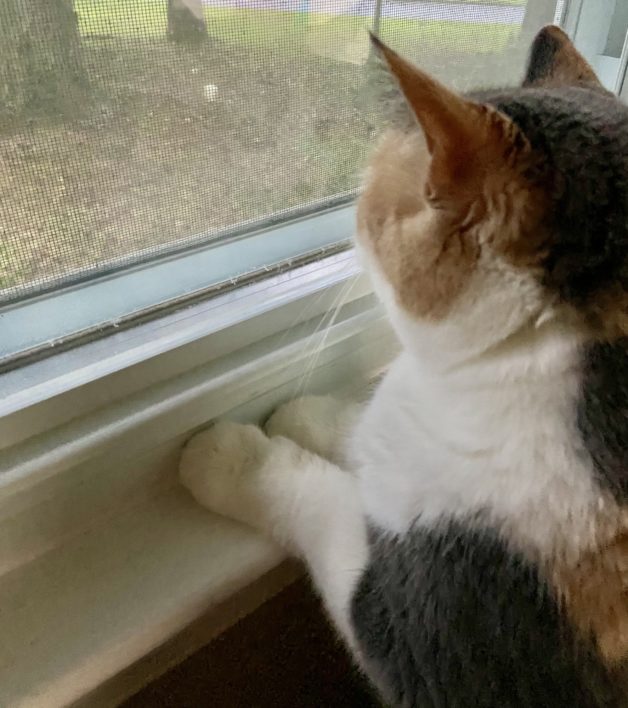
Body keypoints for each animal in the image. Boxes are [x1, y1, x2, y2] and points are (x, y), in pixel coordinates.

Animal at [179, 24, 628, 704]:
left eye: (371, 192)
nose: (348, 214)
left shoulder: (423, 641)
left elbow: (323, 498)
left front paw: (233, 456)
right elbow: (361, 435)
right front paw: (308, 416)